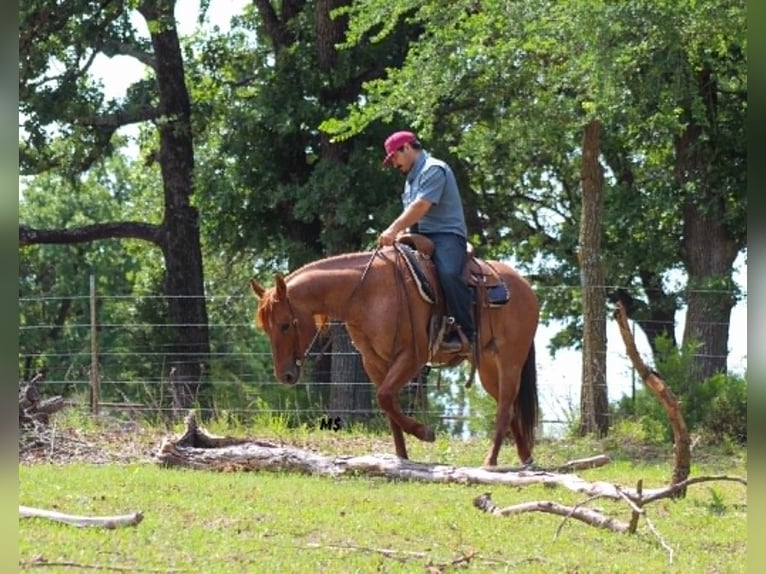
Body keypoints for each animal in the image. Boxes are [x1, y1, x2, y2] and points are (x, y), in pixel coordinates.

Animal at [249, 242, 539, 467]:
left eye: (286, 325)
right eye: (265, 328)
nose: (285, 375)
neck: (367, 293)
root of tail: (524, 286)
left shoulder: (411, 357)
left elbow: (386, 397)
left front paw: (424, 432)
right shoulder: (374, 363)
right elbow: (388, 404)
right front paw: (401, 457)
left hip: (510, 361)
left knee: (504, 408)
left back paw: (491, 461)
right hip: (489, 367)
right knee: (509, 409)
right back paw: (525, 458)